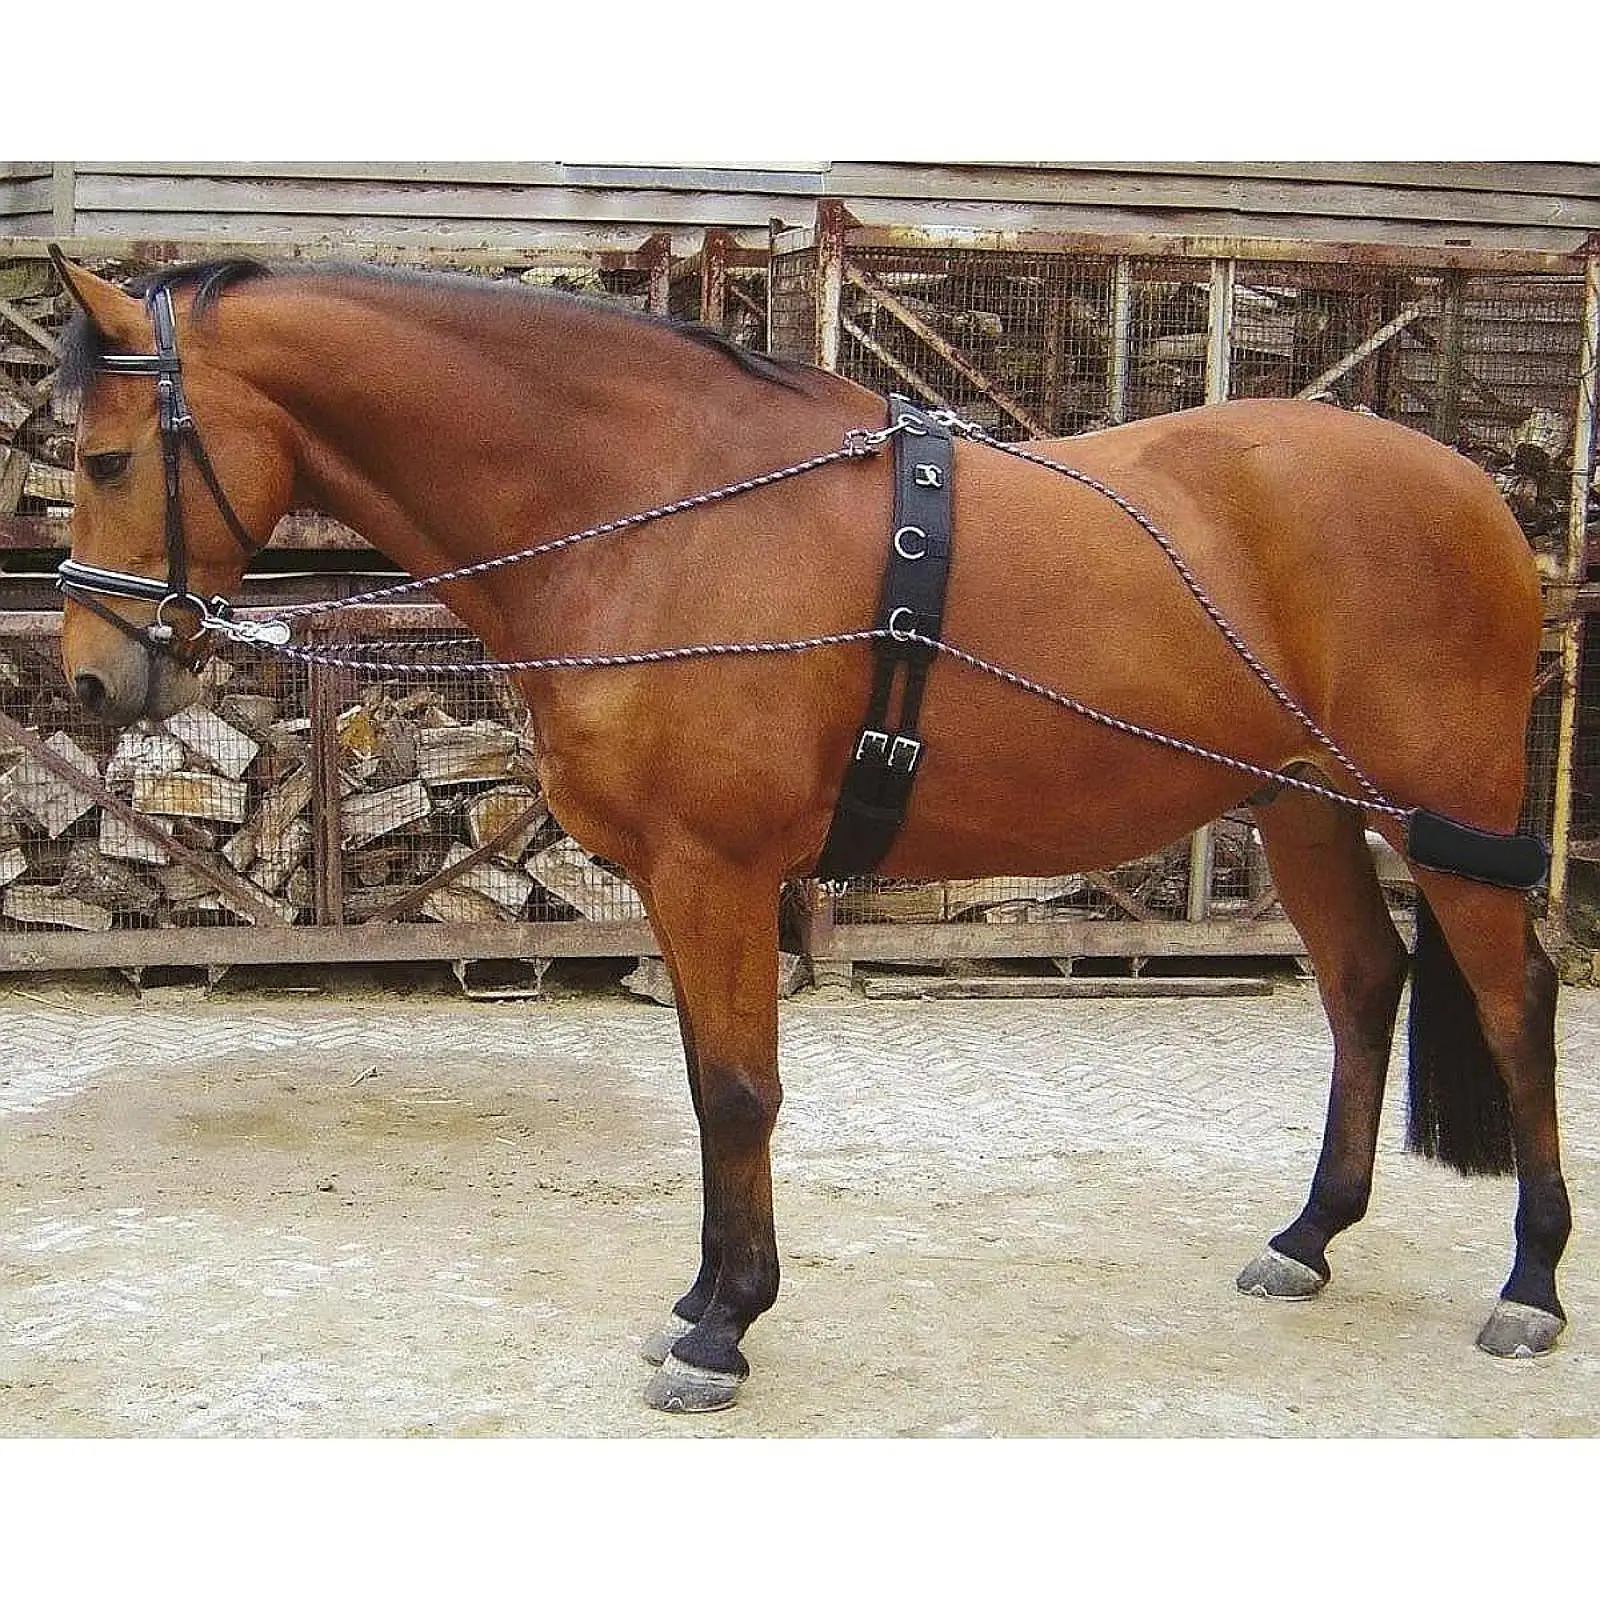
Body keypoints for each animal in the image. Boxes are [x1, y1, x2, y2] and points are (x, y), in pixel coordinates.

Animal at [48, 252, 1570, 1414]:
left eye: (108, 458)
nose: (88, 679)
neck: (648, 514)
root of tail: (1477, 495)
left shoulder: (718, 871)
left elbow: (737, 1093)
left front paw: (725, 1332)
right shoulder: (674, 882)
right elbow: (705, 1083)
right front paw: (698, 1299)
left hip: (1442, 816)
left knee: (1515, 1001)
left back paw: (1532, 1282)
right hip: (1303, 807)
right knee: (1365, 986)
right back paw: (1309, 1238)